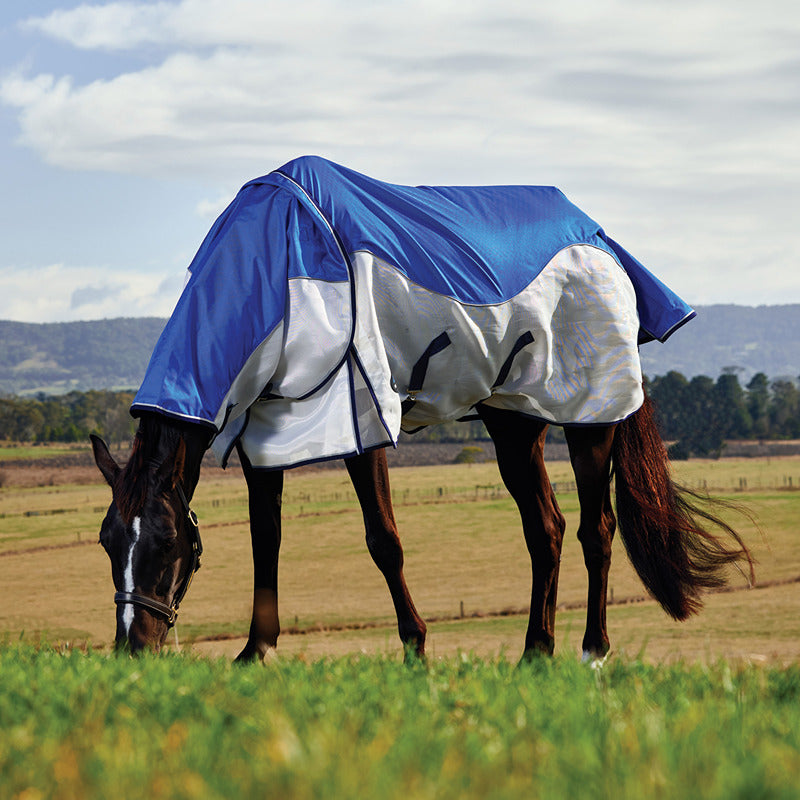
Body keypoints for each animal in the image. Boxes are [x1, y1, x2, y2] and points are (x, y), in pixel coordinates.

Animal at [91, 156, 754, 660]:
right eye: (107, 541)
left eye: (166, 541)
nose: (134, 649)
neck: (274, 268)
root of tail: (600, 239)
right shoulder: (266, 434)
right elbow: (266, 540)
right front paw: (257, 652)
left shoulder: (358, 418)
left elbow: (383, 539)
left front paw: (415, 648)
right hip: (514, 421)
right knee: (546, 529)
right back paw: (535, 654)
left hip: (591, 418)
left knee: (597, 528)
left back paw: (593, 649)